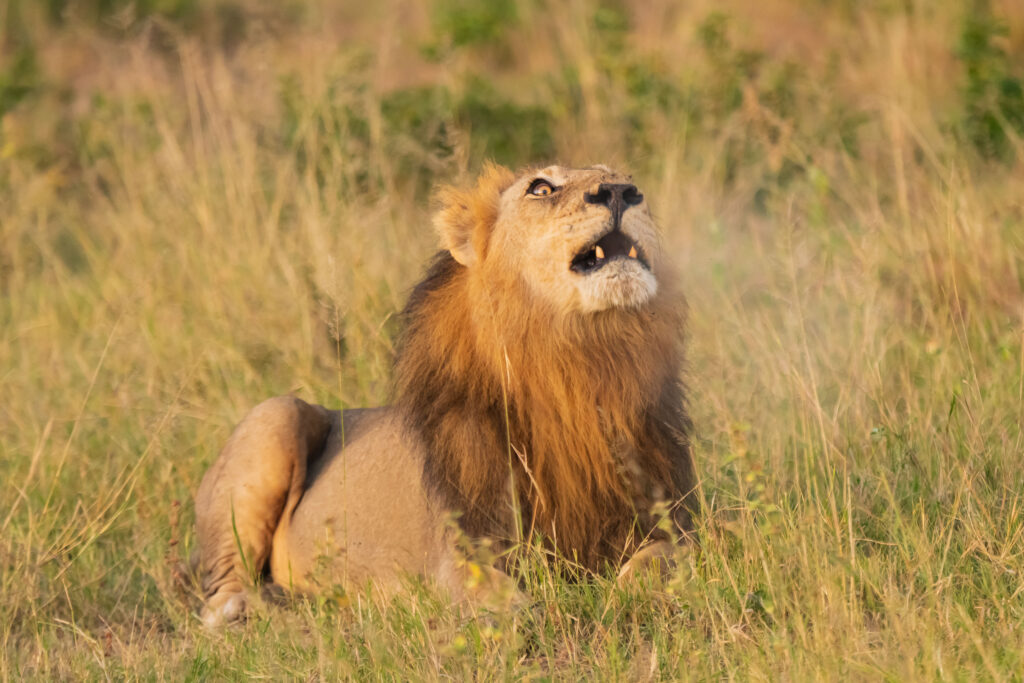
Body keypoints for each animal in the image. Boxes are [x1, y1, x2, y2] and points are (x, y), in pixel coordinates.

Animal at [194, 164, 697, 626]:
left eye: (624, 176)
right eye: (540, 188)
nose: (620, 191)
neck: (577, 366)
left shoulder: (677, 519)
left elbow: (661, 558)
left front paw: (628, 594)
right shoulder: (462, 546)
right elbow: (489, 591)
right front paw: (521, 613)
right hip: (275, 415)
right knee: (221, 593)